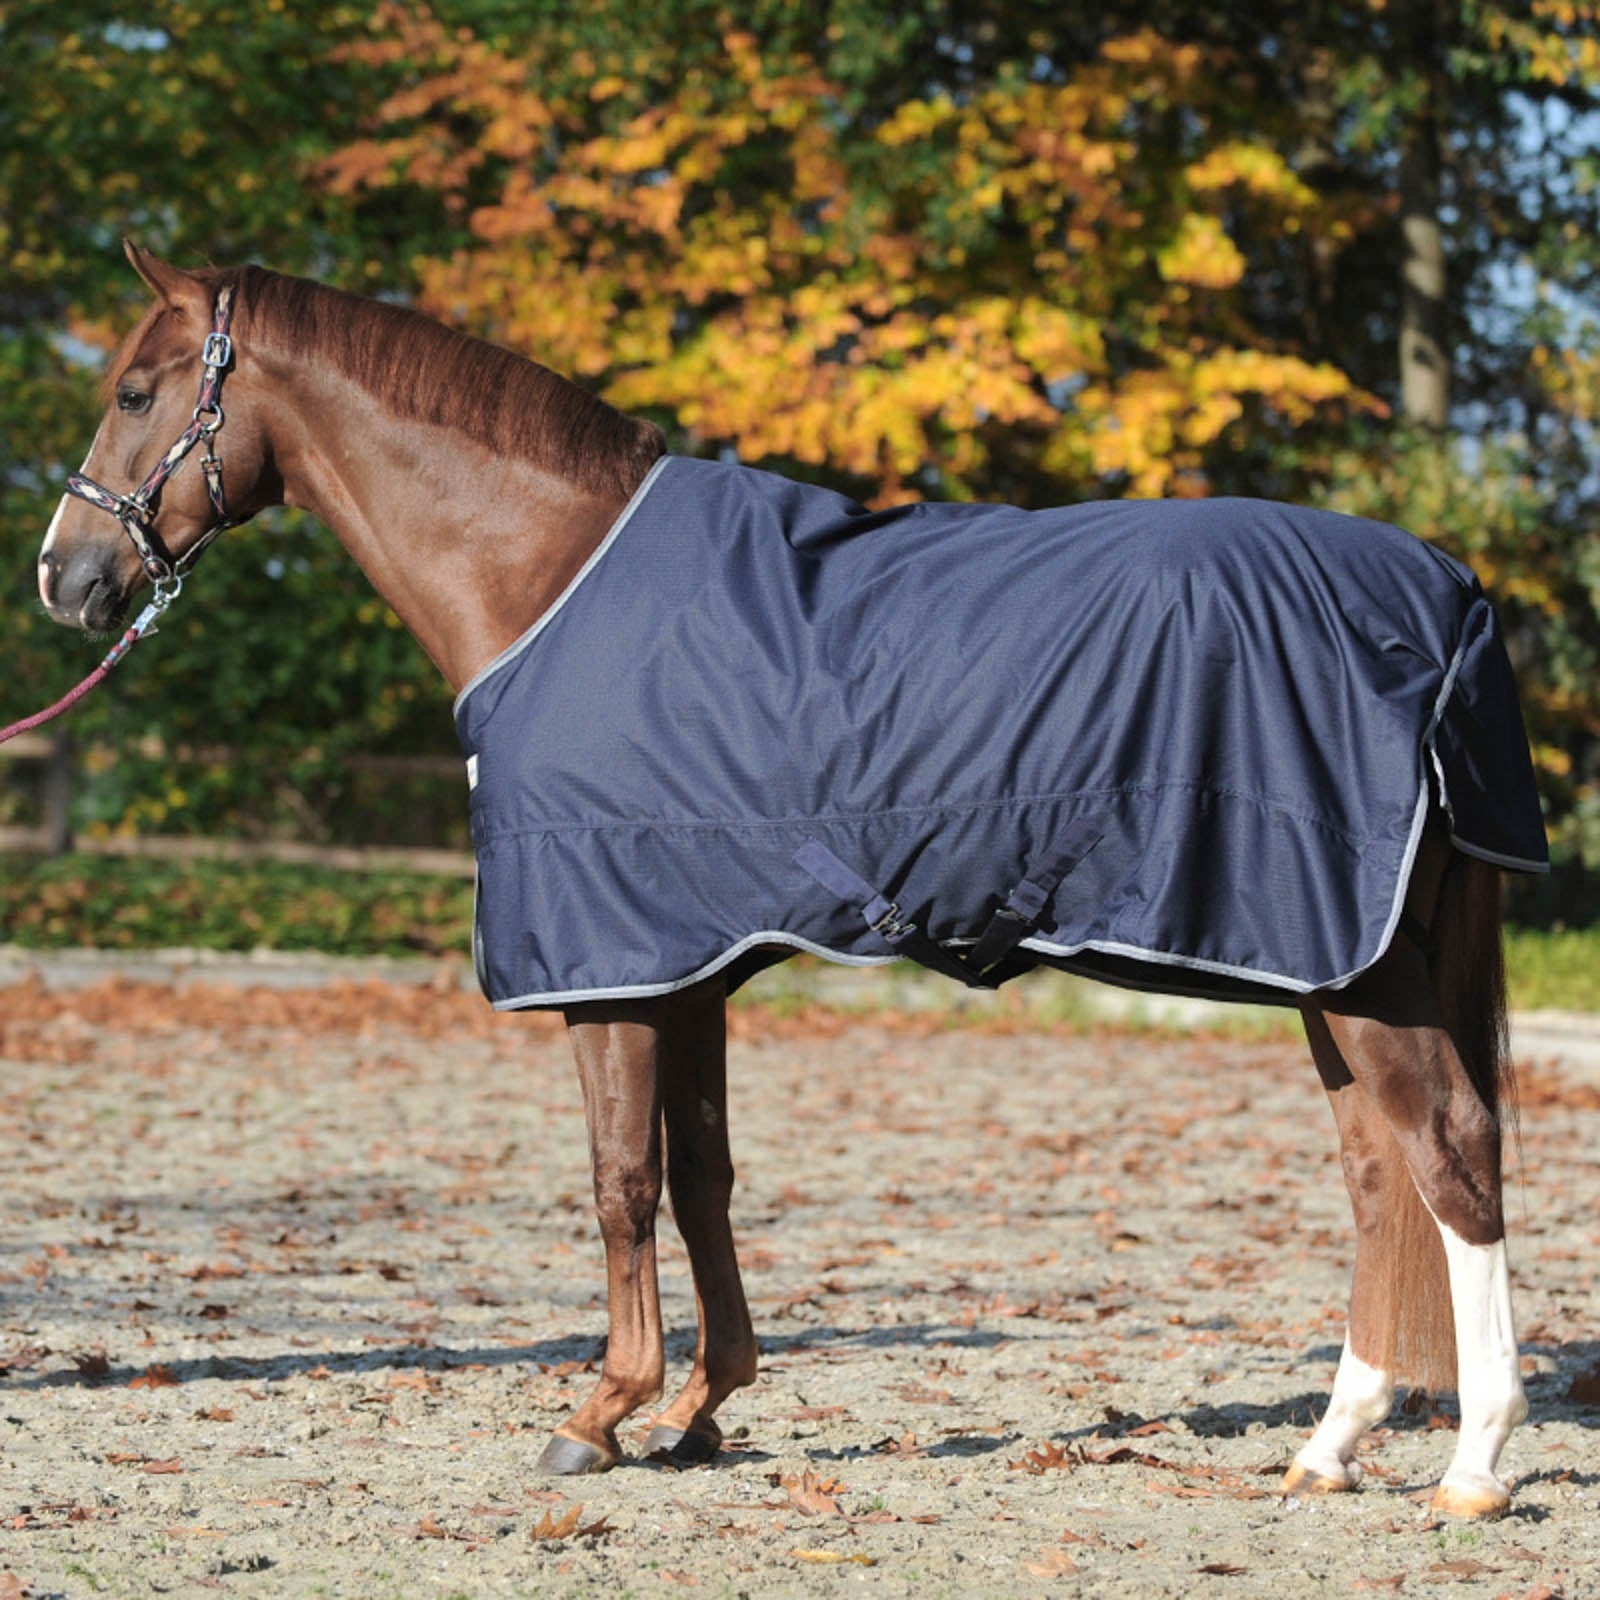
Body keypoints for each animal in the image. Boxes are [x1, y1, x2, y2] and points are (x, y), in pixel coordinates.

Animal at [35, 242, 1546, 1518]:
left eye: (134, 390)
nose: (65, 574)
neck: (552, 572)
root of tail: (1451, 591)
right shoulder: (687, 961)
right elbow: (703, 1175)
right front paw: (700, 1407)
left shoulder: (612, 970)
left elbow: (619, 1182)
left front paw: (601, 1410)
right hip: (1329, 962)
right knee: (1377, 1171)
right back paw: (1331, 1443)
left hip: (1358, 964)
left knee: (1451, 1149)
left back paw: (1473, 1463)